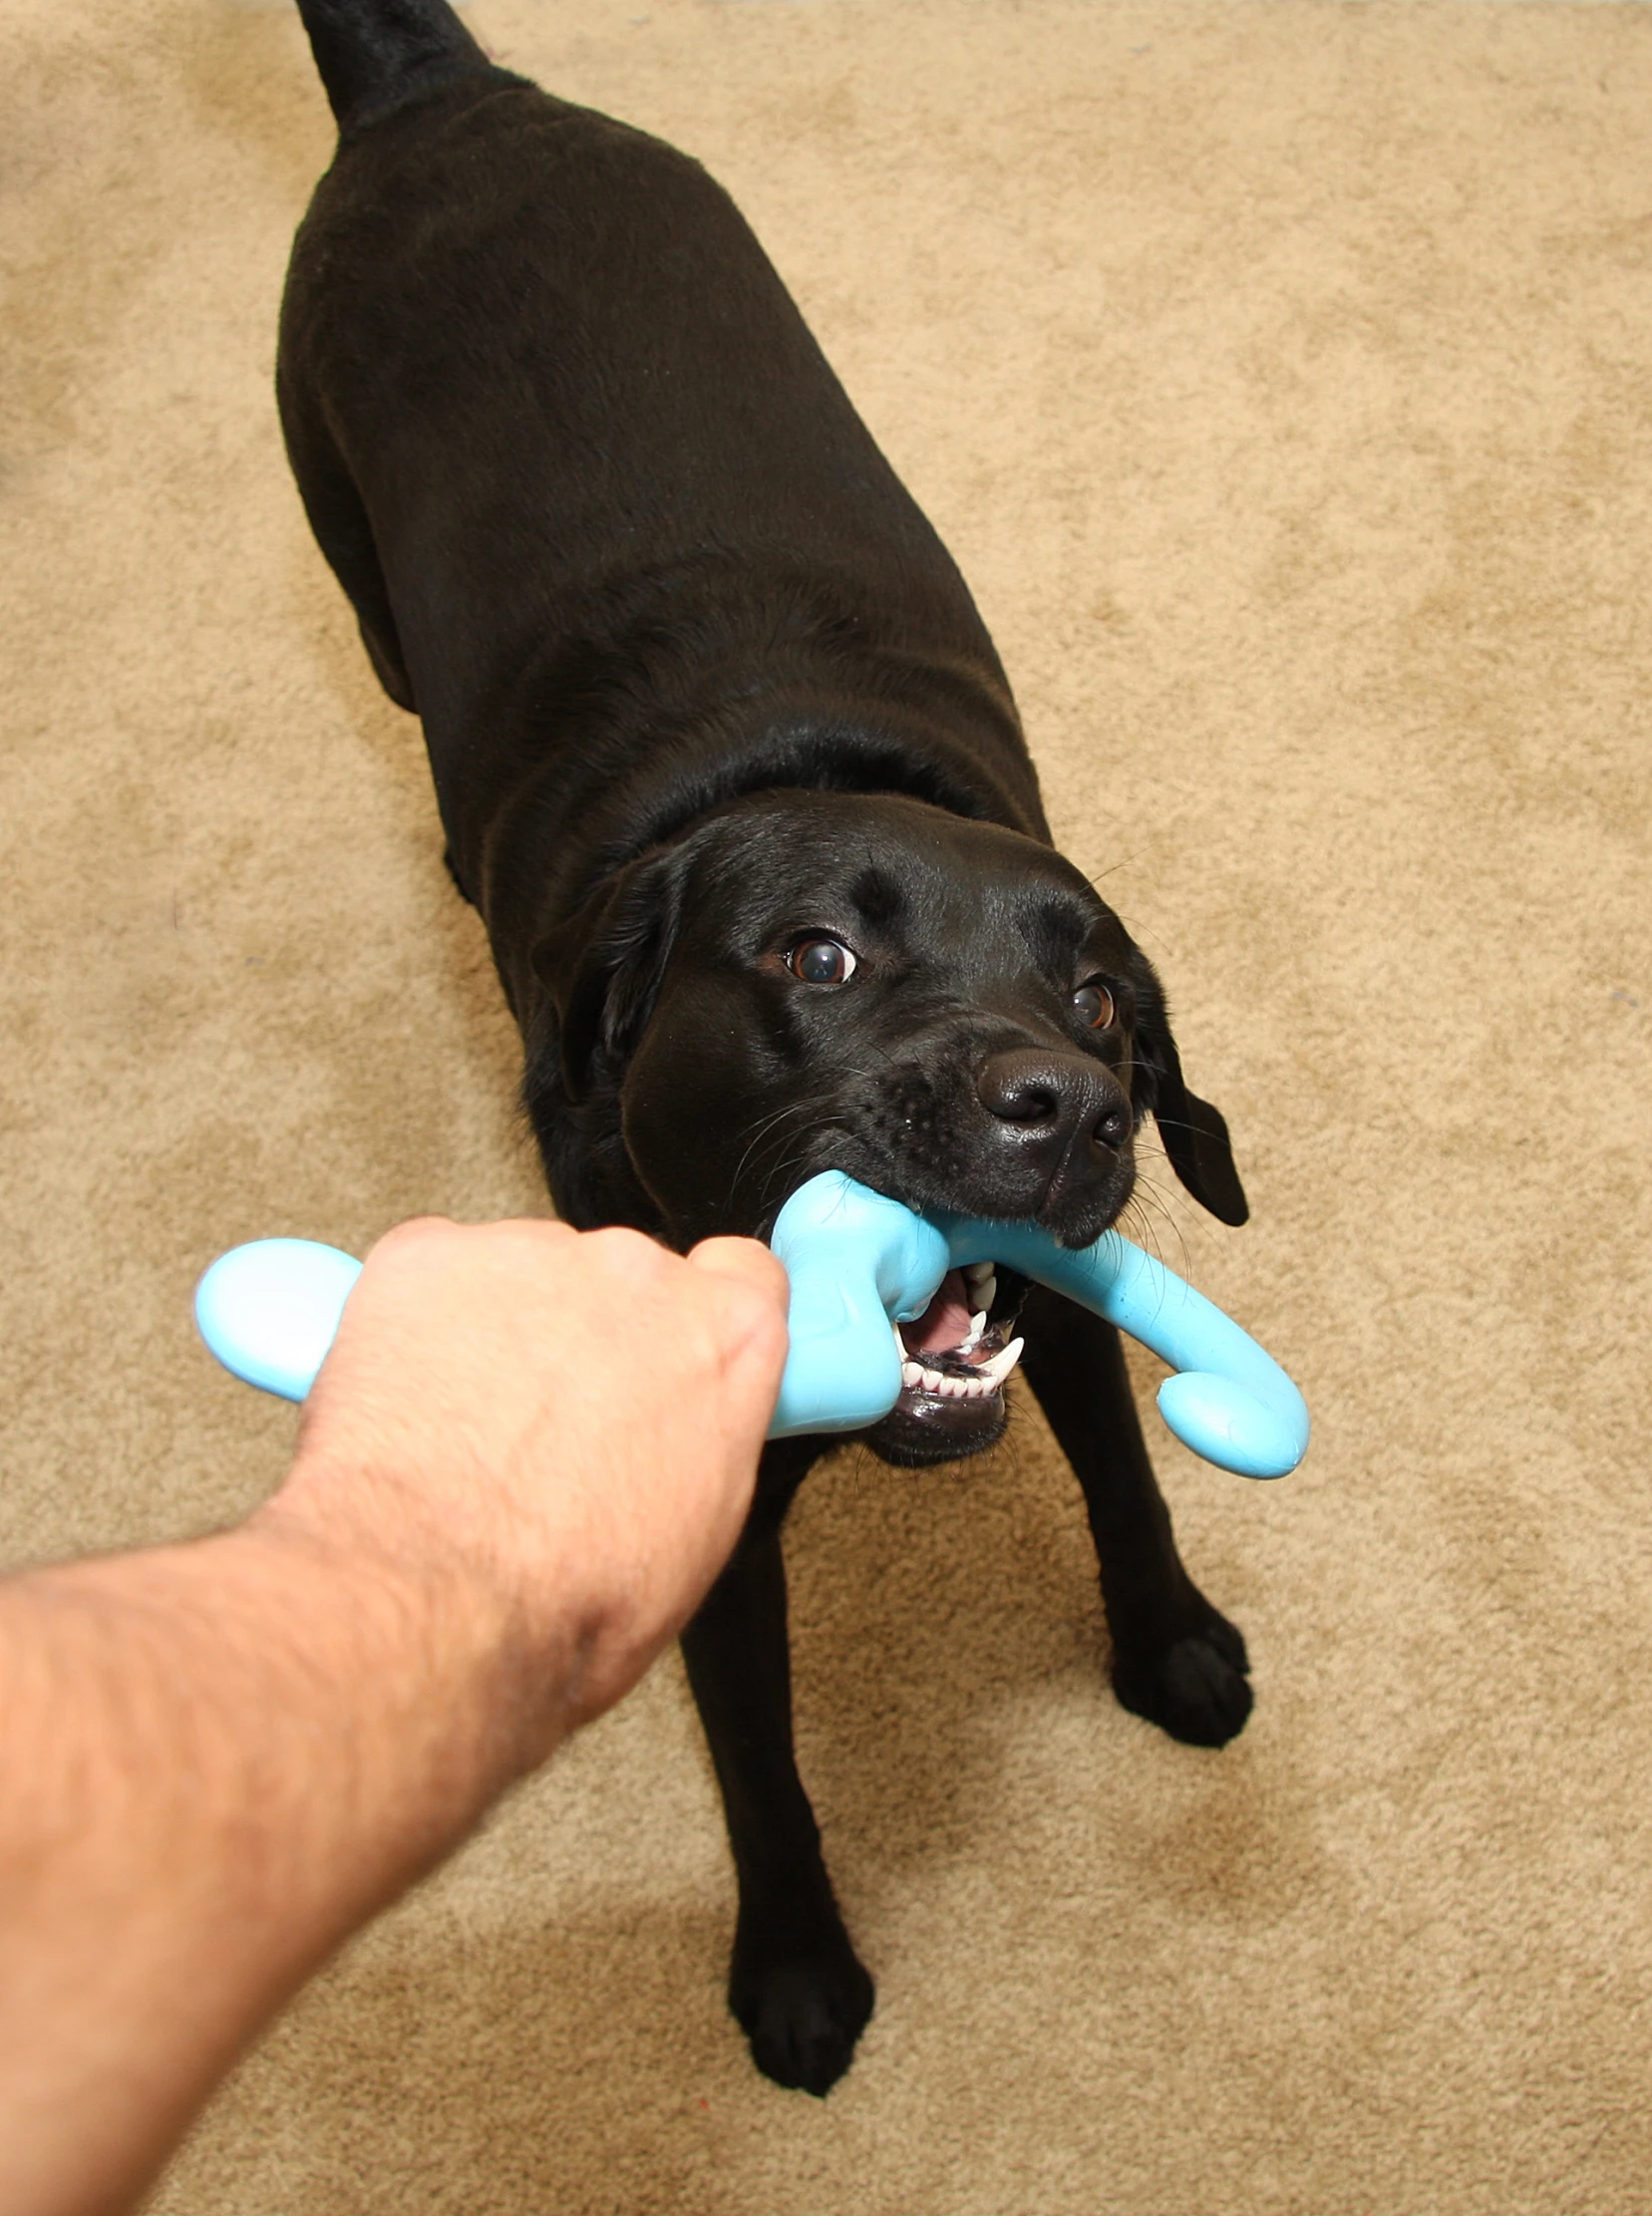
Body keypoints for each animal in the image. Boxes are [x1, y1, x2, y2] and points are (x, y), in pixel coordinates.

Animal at [277, 0, 1250, 2091]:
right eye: (814, 951)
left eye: (1101, 1000)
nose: (1067, 1107)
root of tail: (440, 88)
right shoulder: (705, 1521)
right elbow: (759, 1761)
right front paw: (795, 1961)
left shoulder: (1053, 1326)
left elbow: (1122, 1481)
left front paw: (1170, 1643)